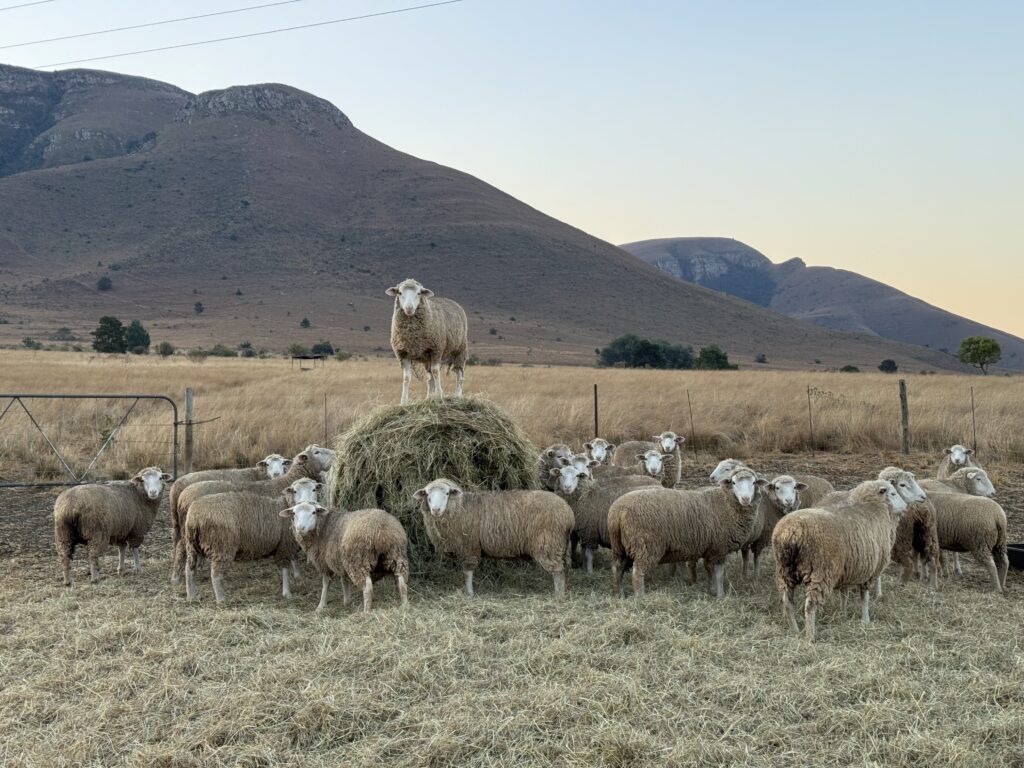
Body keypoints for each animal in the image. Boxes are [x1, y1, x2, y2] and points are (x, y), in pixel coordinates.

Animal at [169, 445, 335, 582]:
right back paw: (176, 577)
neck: (284, 482)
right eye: (317, 452)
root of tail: (181, 493)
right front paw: (297, 574)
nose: (334, 453)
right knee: (181, 547)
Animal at [281, 501, 409, 613]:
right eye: (294, 514)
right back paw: (404, 605)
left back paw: (366, 612)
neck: (323, 526)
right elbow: (344, 580)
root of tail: (381, 531)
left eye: (313, 512)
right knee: (402, 582)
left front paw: (321, 606)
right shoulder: (340, 562)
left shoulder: (324, 564)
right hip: (396, 555)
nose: (300, 528)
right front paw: (347, 601)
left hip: (357, 561)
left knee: (367, 588)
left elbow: (326, 584)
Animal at [413, 478, 574, 597]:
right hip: (561, 545)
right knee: (565, 567)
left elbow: (467, 572)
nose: (436, 510)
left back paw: (559, 595)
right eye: (427, 495)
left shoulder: (469, 547)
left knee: (558, 571)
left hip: (548, 543)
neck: (460, 507)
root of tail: (568, 513)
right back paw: (565, 590)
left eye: (447, 493)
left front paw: (469, 594)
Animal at [609, 466, 766, 599]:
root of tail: (617, 512)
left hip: (620, 546)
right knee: (637, 573)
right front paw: (721, 595)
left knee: (617, 569)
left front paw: (712, 590)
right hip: (645, 546)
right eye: (733, 482)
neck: (726, 503)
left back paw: (619, 594)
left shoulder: (711, 548)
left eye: (754, 483)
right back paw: (640, 597)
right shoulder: (720, 547)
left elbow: (710, 570)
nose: (745, 499)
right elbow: (719, 574)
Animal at [772, 480, 908, 641]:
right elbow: (864, 597)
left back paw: (795, 630)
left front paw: (843, 612)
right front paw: (866, 619)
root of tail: (791, 532)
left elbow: (844, 593)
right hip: (820, 572)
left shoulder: (848, 569)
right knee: (810, 606)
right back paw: (810, 637)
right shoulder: (869, 571)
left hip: (785, 570)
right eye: (893, 493)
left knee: (787, 601)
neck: (873, 507)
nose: (906, 507)